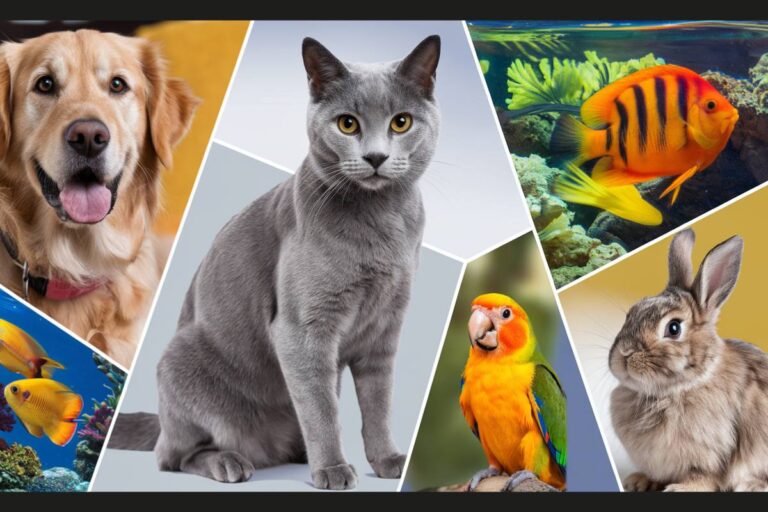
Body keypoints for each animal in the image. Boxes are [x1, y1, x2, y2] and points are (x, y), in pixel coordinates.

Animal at [609, 228, 768, 492]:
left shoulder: (712, 452)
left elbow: (705, 477)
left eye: (673, 328)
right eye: (631, 313)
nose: (624, 354)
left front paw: (679, 488)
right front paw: (638, 481)